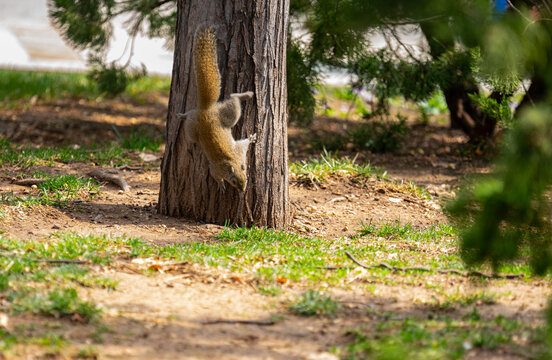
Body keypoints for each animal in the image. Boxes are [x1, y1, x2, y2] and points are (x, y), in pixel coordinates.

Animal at [178, 25, 258, 193]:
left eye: (246, 177)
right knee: (233, 97)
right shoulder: (216, 168)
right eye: (233, 181)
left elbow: (244, 144)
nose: (242, 191)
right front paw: (221, 185)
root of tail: (206, 110)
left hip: (221, 115)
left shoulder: (239, 153)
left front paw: (252, 138)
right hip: (203, 125)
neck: (231, 162)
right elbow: (215, 175)